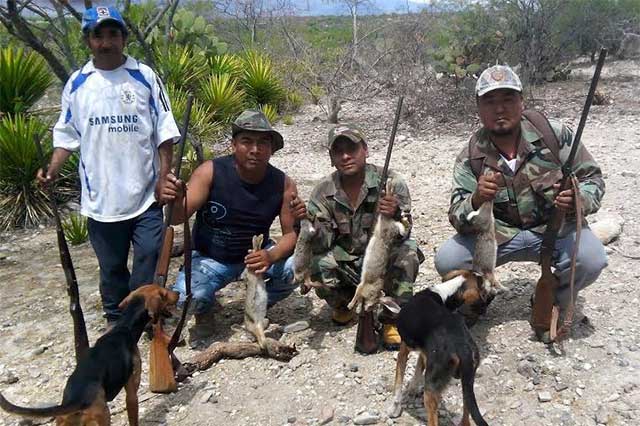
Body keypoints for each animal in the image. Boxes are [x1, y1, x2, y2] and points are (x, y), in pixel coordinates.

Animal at [0, 286, 179, 426]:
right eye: (164, 293)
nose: (177, 292)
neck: (124, 327)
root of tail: (77, 400)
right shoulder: (132, 391)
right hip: (103, 417)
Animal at [384, 272, 490, 424]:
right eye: (483, 287)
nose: (485, 308)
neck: (443, 293)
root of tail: (462, 347)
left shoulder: (404, 350)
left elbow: (398, 384)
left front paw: (394, 408)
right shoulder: (424, 352)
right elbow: (418, 369)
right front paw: (412, 388)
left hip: (431, 389)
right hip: (467, 384)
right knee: (467, 415)